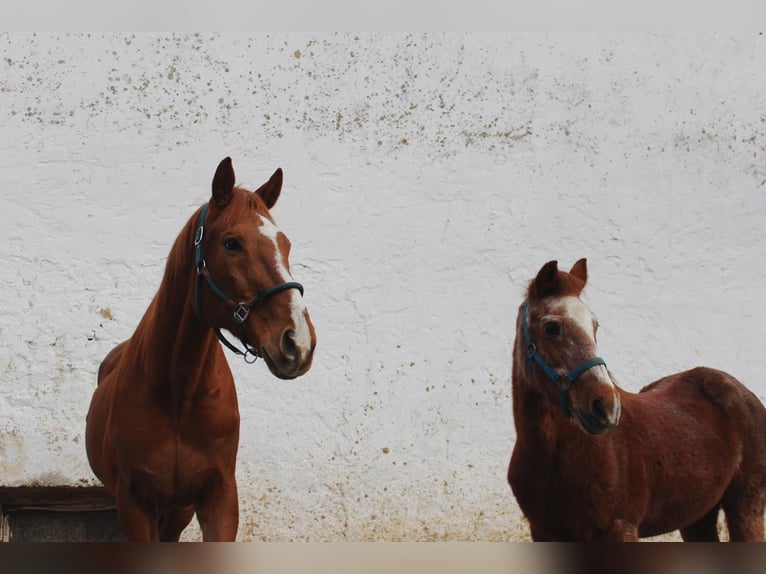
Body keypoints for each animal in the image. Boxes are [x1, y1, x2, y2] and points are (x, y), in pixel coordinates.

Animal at [87, 159, 318, 544]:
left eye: (284, 244)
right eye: (232, 243)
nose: (298, 342)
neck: (179, 397)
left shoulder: (219, 498)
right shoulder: (135, 505)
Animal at [510, 258, 766, 544]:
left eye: (595, 325)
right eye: (551, 328)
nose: (606, 407)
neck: (557, 455)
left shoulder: (621, 528)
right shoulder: (543, 532)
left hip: (746, 506)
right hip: (697, 516)